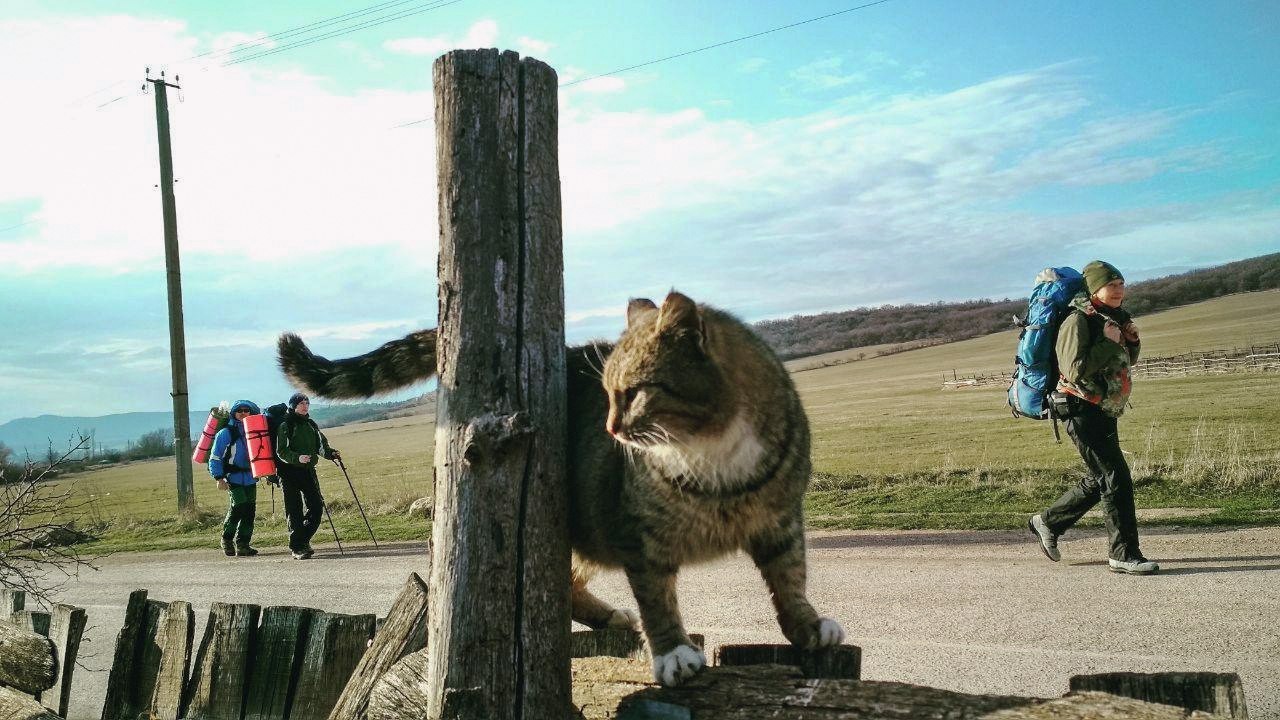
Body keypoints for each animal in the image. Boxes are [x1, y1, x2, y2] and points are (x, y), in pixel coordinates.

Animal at [275, 288, 844, 681]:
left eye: (634, 392)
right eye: (607, 394)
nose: (611, 428)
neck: (712, 453)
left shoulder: (782, 520)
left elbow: (790, 578)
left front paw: (808, 625)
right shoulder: (638, 537)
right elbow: (657, 599)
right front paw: (672, 651)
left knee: (571, 584)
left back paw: (611, 618)